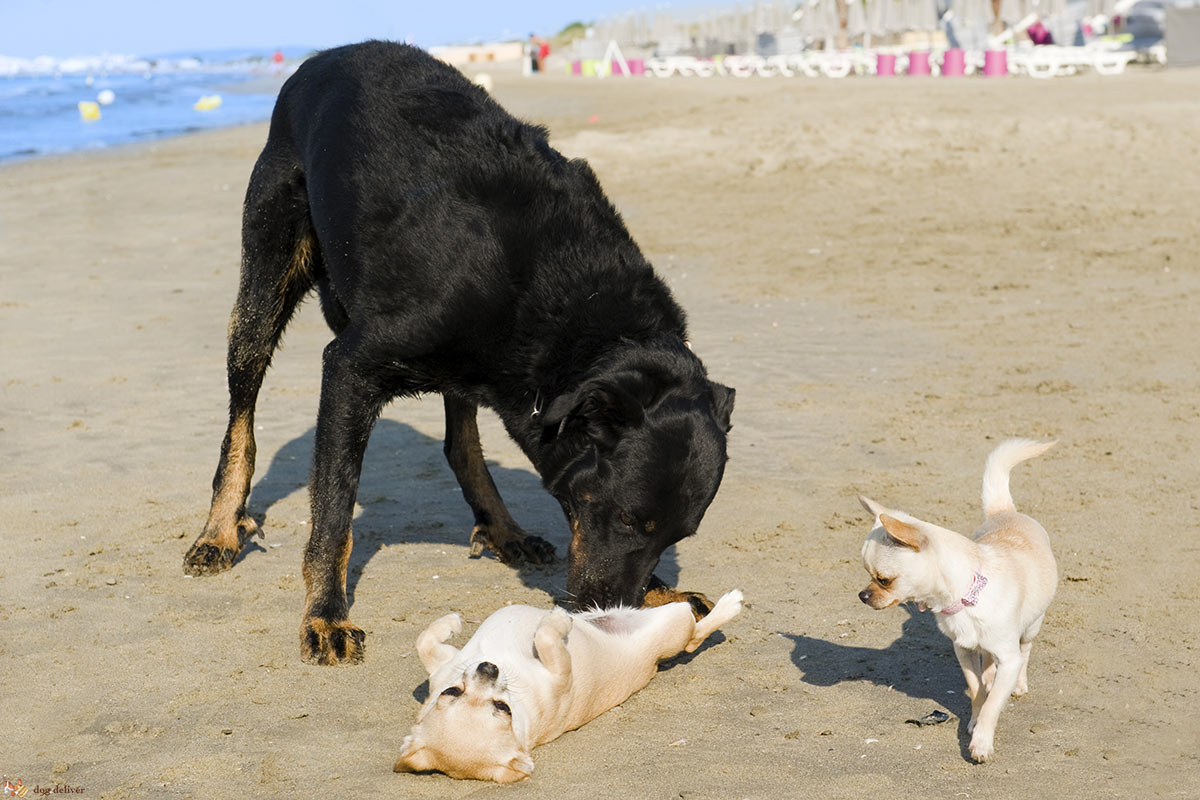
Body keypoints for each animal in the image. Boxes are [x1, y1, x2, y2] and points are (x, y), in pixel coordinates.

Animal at [182, 42, 734, 671]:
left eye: (672, 536)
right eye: (625, 518)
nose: (610, 614)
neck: (577, 313)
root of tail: (324, 56)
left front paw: (662, 589)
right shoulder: (350, 367)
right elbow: (334, 511)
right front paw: (325, 613)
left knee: (460, 441)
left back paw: (504, 530)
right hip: (264, 284)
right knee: (241, 419)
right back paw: (219, 531)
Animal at [393, 587, 739, 782]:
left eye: (451, 691)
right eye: (504, 709)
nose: (488, 668)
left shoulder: (444, 664)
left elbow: (424, 640)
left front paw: (450, 623)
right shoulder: (560, 672)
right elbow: (548, 638)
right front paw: (556, 620)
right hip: (673, 625)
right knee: (694, 635)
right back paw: (730, 604)